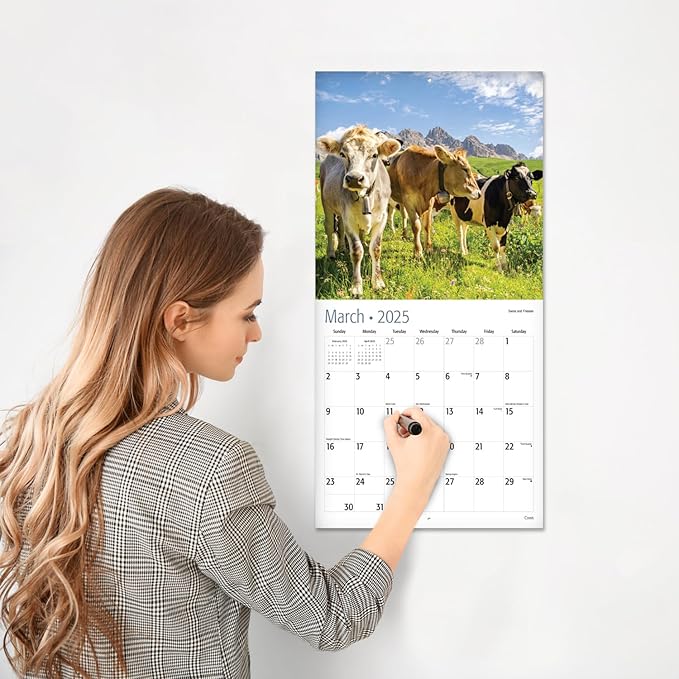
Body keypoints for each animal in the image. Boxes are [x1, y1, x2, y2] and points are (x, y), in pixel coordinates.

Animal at [317, 125, 401, 297]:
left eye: (374, 155)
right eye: (343, 154)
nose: (354, 178)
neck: (365, 197)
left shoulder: (382, 219)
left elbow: (375, 249)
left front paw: (378, 282)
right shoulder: (350, 220)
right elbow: (357, 251)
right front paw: (356, 287)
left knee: (340, 228)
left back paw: (342, 248)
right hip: (326, 203)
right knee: (329, 227)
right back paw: (331, 253)